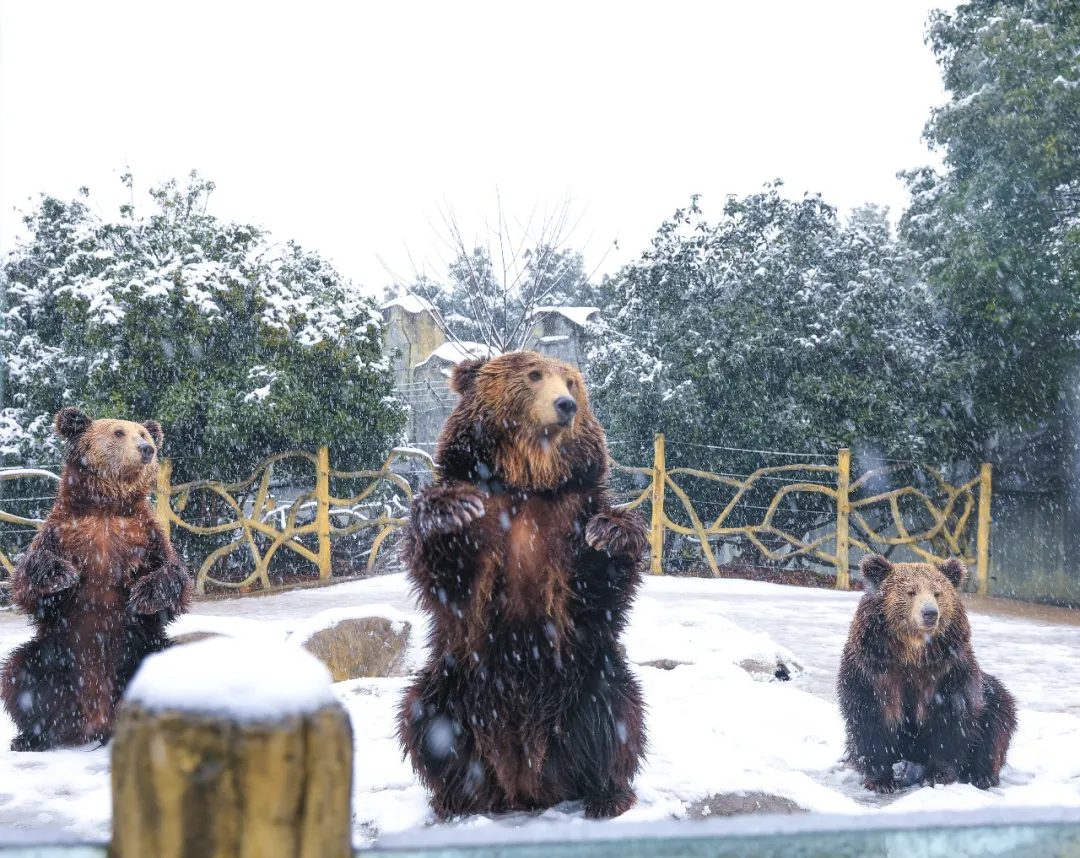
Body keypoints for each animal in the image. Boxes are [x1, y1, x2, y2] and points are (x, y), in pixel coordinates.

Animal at [0, 408, 192, 747]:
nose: (147, 449)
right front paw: (62, 575)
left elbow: (173, 578)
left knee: (167, 659)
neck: (106, 507)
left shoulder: (144, 537)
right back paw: (34, 736)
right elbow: (28, 585)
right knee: (20, 673)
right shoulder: (62, 532)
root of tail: (97, 721)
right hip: (56, 654)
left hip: (139, 648)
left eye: (144, 433)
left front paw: (145, 595)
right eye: (119, 432)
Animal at [399, 350, 643, 816]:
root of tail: (524, 784)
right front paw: (450, 512)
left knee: (614, 708)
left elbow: (597, 591)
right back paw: (457, 799)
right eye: (533, 374)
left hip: (579, 674)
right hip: (460, 680)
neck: (526, 482)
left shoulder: (571, 515)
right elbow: (448, 575)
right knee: (427, 716)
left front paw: (611, 533)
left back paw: (607, 793)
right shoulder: (486, 524)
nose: (566, 405)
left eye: (571, 381)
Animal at [838, 551, 1015, 791]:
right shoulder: (870, 671)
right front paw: (880, 780)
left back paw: (982, 775)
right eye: (911, 591)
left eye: (937, 592)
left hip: (991, 695)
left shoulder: (948, 672)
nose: (930, 613)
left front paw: (938, 775)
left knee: (997, 720)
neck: (912, 655)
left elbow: (951, 721)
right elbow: (870, 720)